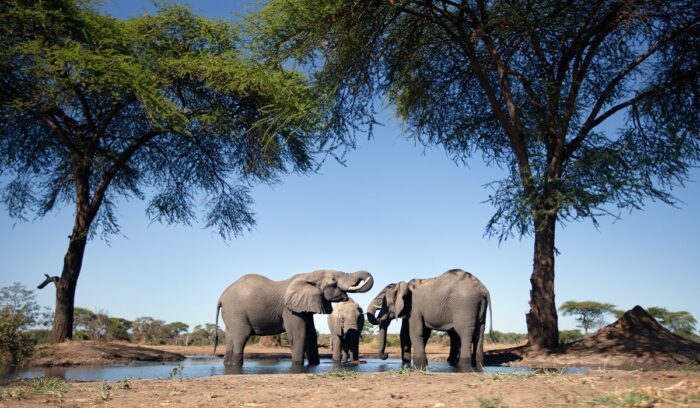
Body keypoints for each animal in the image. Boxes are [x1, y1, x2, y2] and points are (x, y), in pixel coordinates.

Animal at [213, 270, 374, 366]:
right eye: (333, 280)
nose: (361, 362)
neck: (309, 275)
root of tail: (222, 295)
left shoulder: (305, 307)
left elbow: (311, 333)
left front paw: (314, 365)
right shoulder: (290, 309)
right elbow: (298, 334)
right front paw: (298, 366)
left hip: (230, 314)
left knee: (230, 337)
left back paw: (227, 364)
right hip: (236, 312)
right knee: (241, 336)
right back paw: (236, 365)